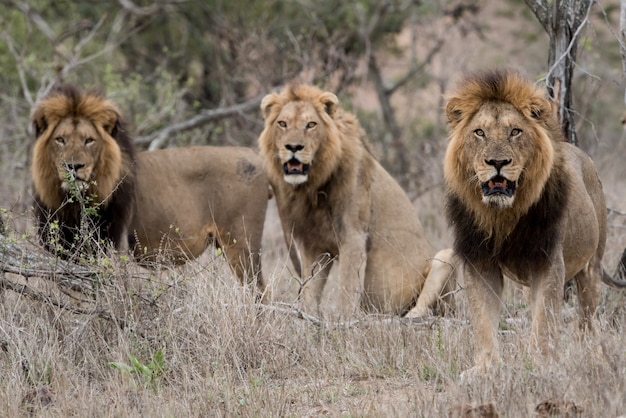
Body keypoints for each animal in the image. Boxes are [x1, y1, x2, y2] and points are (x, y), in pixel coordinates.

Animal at [256, 85, 456, 320]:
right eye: (283, 123)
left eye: (311, 124)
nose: (293, 147)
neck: (313, 185)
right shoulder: (314, 245)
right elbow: (310, 290)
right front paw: (308, 318)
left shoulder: (353, 238)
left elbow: (346, 289)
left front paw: (341, 323)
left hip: (445, 259)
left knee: (423, 308)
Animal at [442, 68, 624, 376]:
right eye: (479, 132)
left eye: (515, 131)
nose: (497, 162)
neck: (502, 215)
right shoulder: (479, 262)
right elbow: (482, 318)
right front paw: (485, 368)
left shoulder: (548, 261)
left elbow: (545, 320)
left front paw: (541, 366)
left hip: (591, 265)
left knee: (587, 321)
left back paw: (593, 358)